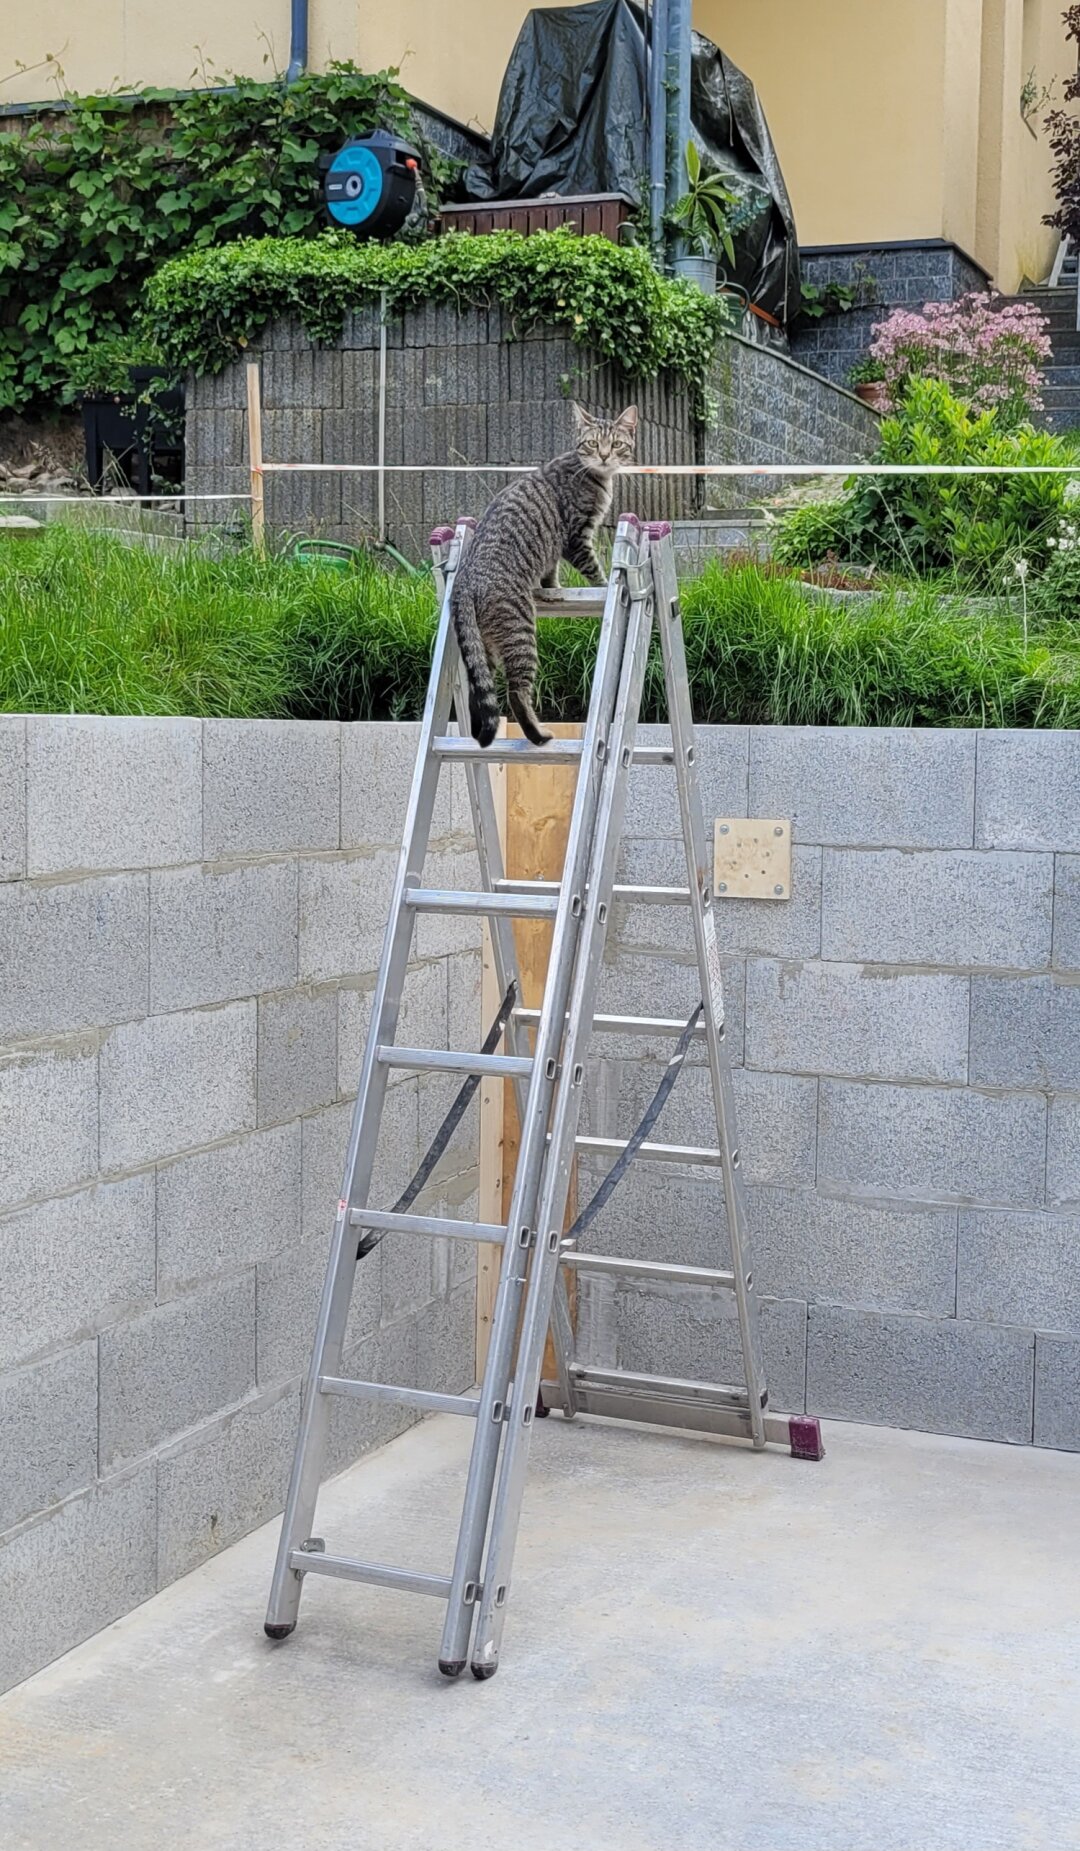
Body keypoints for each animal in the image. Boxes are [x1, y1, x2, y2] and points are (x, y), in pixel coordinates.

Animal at [450, 403, 637, 744]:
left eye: (616, 443)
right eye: (593, 443)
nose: (604, 456)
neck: (594, 475)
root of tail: (466, 580)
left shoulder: (555, 549)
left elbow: (551, 571)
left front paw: (552, 586)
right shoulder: (576, 536)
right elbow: (592, 567)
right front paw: (604, 585)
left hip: (483, 647)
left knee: (479, 693)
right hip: (521, 633)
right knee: (516, 693)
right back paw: (538, 734)